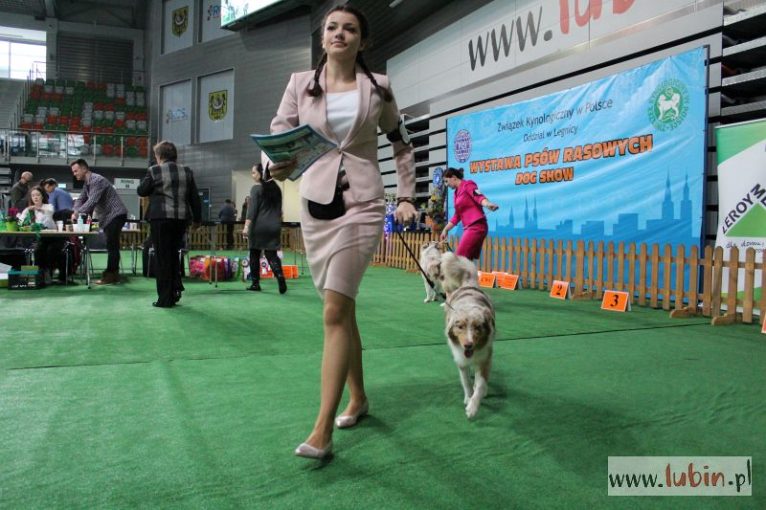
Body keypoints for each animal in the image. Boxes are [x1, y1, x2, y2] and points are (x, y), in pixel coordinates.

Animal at [441, 252, 495, 419]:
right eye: (460, 327)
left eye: (478, 327)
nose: (468, 345)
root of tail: (468, 284)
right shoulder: (461, 360)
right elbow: (465, 381)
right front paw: (468, 397)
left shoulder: (485, 357)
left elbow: (481, 384)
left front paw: (473, 407)